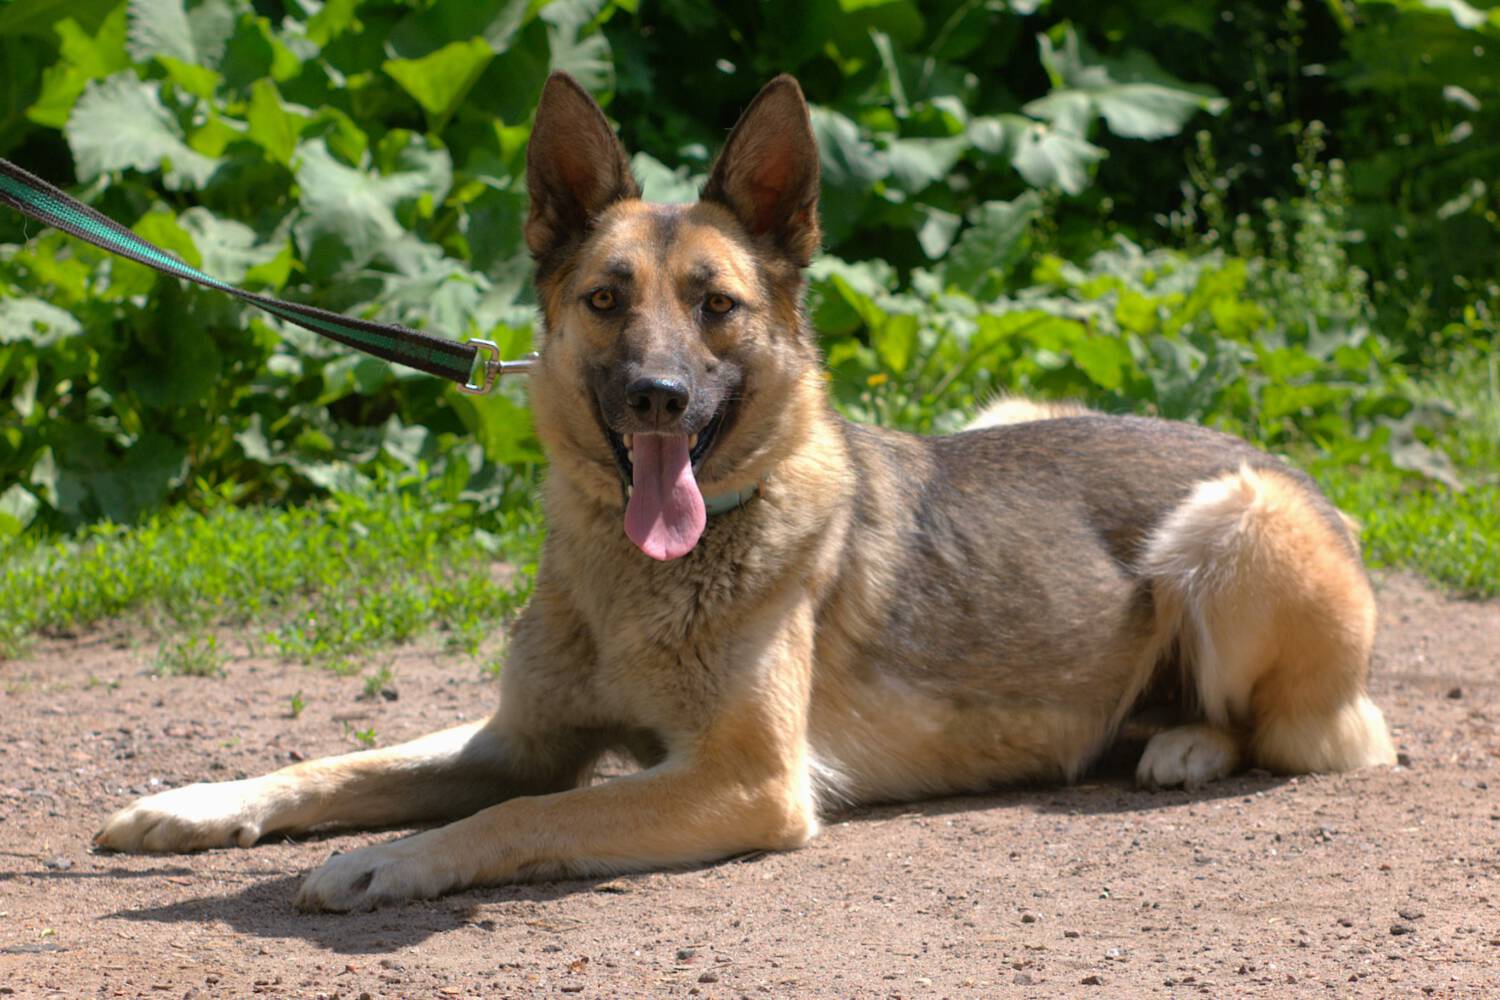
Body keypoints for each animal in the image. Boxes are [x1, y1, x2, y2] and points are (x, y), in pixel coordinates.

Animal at [96, 74, 1392, 911]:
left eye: (717, 306)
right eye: (606, 299)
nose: (660, 398)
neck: (638, 579)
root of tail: (1276, 462)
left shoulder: (743, 785)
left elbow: (521, 817)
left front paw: (388, 861)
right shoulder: (518, 740)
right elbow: (348, 765)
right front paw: (194, 805)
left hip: (1232, 530)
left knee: (1320, 735)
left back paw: (1185, 743)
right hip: (1013, 416)